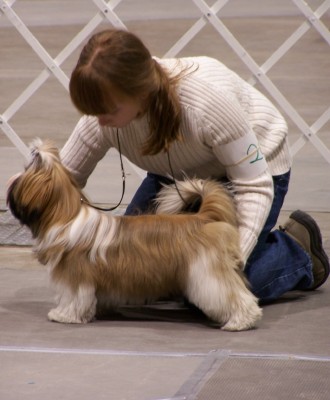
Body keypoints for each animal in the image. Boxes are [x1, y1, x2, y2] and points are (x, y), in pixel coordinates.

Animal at [6, 139, 262, 330]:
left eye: (25, 172)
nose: (10, 180)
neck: (67, 216)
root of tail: (203, 217)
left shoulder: (75, 276)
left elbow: (73, 297)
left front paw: (63, 315)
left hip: (205, 273)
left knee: (233, 295)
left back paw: (241, 321)